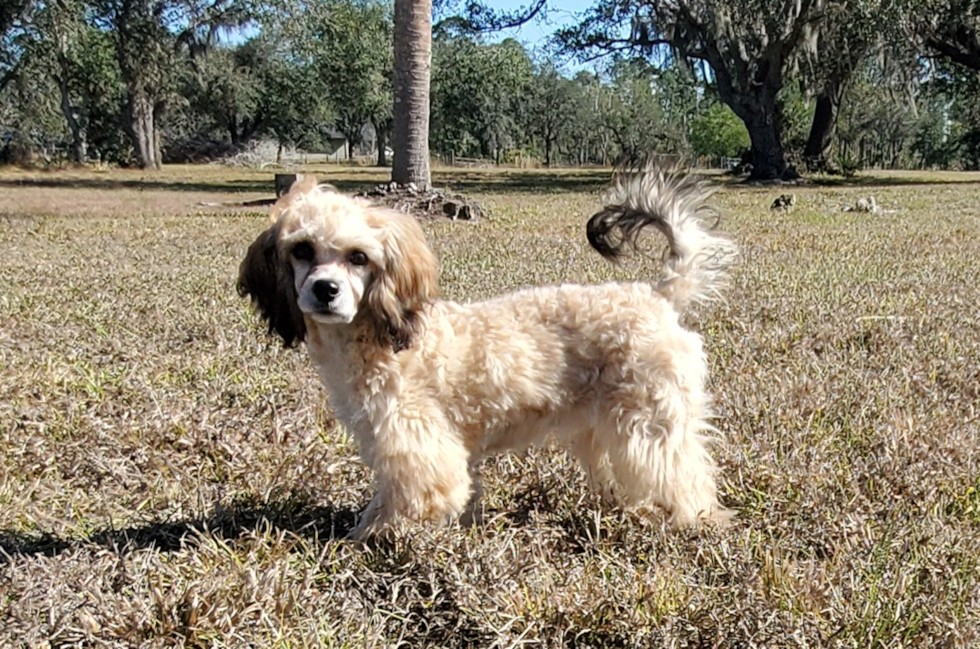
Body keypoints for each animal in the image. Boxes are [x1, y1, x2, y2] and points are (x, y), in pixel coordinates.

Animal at [237, 163, 740, 536]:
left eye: (358, 257)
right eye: (302, 249)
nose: (325, 290)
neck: (380, 337)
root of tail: (656, 294)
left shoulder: (415, 440)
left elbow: (410, 497)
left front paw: (373, 537)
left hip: (650, 423)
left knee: (684, 473)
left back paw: (693, 519)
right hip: (605, 425)